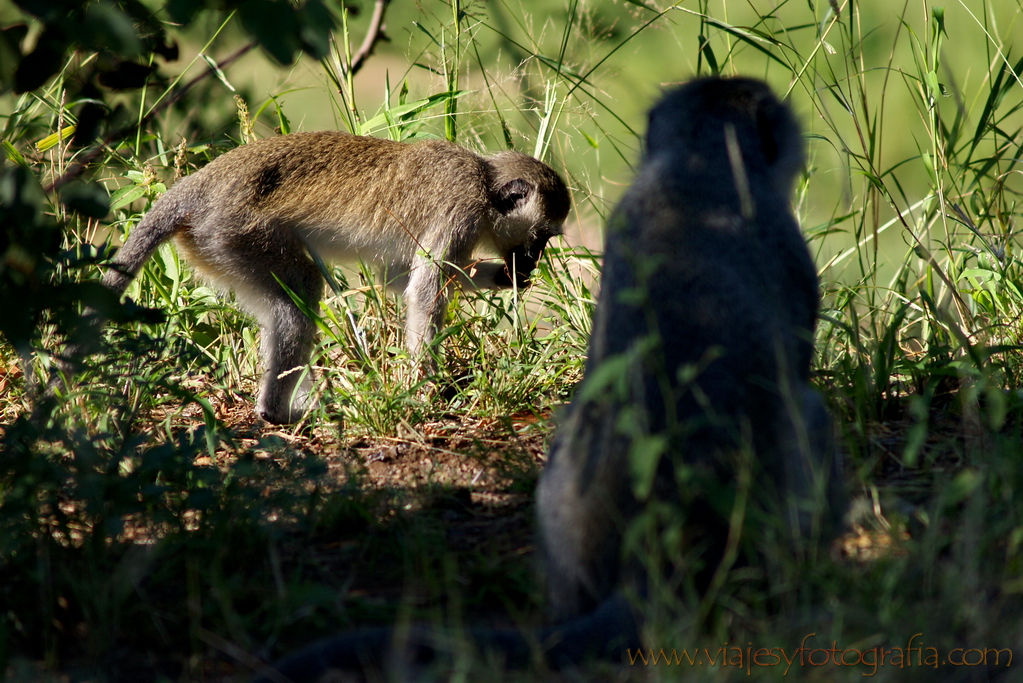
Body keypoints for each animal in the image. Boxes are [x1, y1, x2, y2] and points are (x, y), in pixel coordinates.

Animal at [99, 130, 572, 423]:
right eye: (541, 236)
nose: (533, 260)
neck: (483, 181)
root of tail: (199, 184)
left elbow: (397, 277)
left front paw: (502, 277)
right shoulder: (460, 209)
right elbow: (423, 292)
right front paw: (426, 389)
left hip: (214, 247)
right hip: (233, 235)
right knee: (301, 298)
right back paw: (278, 411)